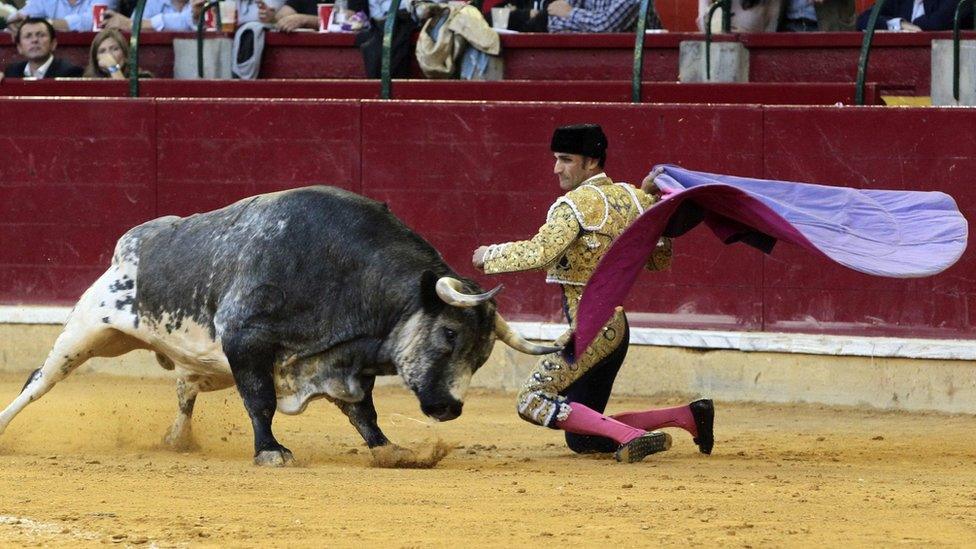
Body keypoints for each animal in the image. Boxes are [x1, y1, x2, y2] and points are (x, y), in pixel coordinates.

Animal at [0, 186, 556, 464]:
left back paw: (177, 440)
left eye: (482, 356)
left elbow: (365, 412)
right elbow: (261, 401)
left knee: (184, 390)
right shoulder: (247, 342)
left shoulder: (343, 362)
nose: (449, 408)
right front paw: (270, 451)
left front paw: (390, 450)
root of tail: (129, 244)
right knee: (38, 381)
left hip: (201, 362)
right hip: (87, 331)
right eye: (449, 334)